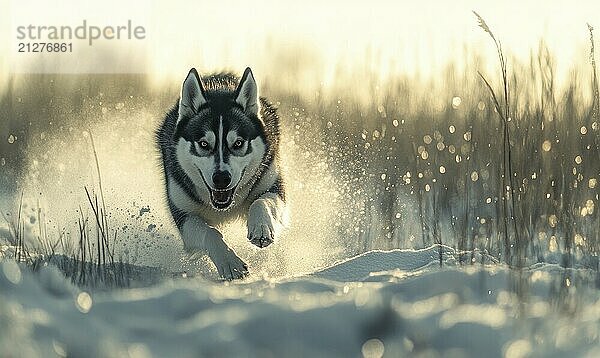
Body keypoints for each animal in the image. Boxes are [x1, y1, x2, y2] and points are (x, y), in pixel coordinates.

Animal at [155, 68, 286, 280]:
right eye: (204, 144)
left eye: (238, 143)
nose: (221, 179)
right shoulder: (184, 215)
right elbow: (209, 233)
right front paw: (229, 262)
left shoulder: (272, 185)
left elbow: (261, 202)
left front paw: (261, 228)